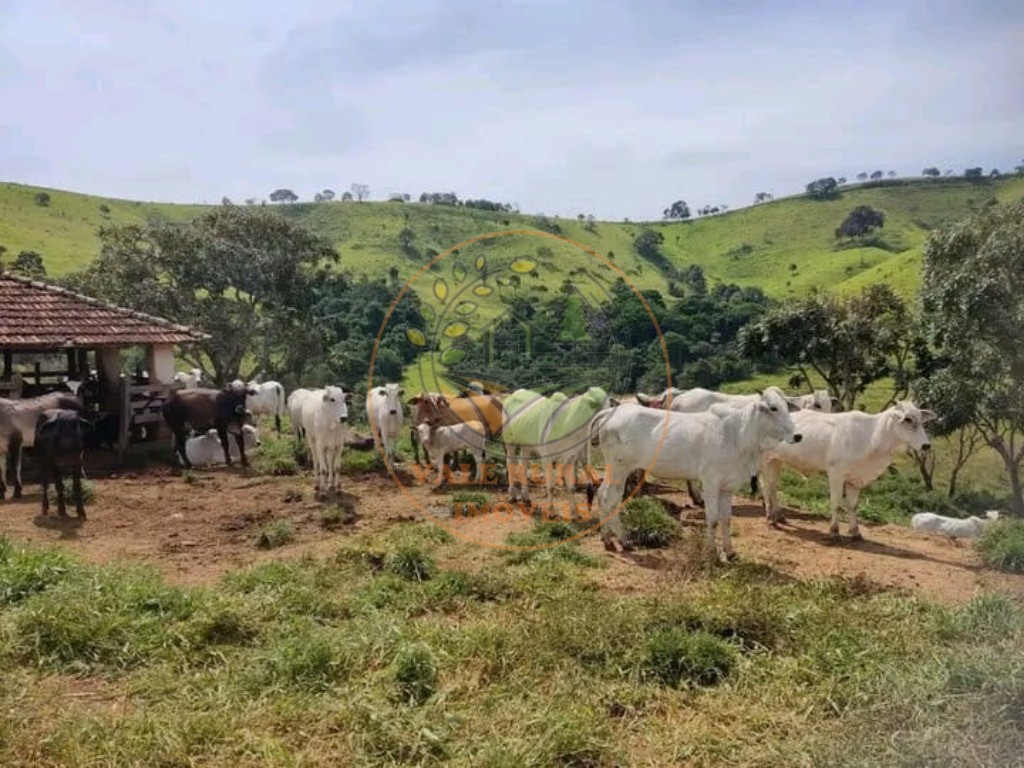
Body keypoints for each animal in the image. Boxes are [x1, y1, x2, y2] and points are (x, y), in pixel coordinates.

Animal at [585, 391, 798, 561]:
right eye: (773, 408)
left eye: (787, 407)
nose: (797, 436)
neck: (737, 436)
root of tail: (611, 412)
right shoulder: (710, 483)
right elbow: (712, 519)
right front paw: (712, 553)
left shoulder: (727, 487)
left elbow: (726, 519)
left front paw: (729, 552)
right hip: (619, 468)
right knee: (608, 498)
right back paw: (623, 539)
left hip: (617, 470)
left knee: (603, 496)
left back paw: (608, 539)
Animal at [761, 403, 937, 540]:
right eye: (908, 419)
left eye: (922, 420)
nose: (926, 445)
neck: (871, 437)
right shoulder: (836, 474)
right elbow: (836, 503)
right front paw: (834, 531)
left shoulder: (855, 479)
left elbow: (853, 505)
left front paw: (855, 532)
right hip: (765, 459)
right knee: (767, 486)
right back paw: (771, 517)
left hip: (776, 460)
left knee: (773, 486)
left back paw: (778, 516)